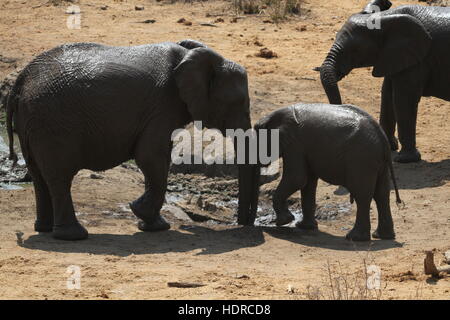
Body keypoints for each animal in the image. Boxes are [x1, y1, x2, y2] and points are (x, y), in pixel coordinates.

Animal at [7, 39, 258, 240]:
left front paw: (149, 224)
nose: (243, 223)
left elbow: (154, 158)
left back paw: (44, 229)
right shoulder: (163, 104)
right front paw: (145, 216)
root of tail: (21, 80)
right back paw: (73, 236)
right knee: (60, 176)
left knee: (39, 177)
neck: (189, 56)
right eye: (240, 103)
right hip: (53, 122)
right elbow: (151, 157)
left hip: (34, 122)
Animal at [246, 104, 400, 241]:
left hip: (361, 159)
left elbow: (297, 178)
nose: (251, 223)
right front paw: (303, 226)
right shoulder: (304, 148)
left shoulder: (295, 145)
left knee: (362, 195)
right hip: (378, 163)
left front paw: (284, 222)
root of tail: (383, 139)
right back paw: (382, 236)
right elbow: (307, 183)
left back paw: (354, 238)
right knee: (381, 194)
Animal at [320, 0, 450, 162]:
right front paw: (389, 146)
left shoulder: (419, 60)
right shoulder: (395, 57)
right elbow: (387, 94)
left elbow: (403, 98)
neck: (385, 17)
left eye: (355, 51)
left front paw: (405, 159)